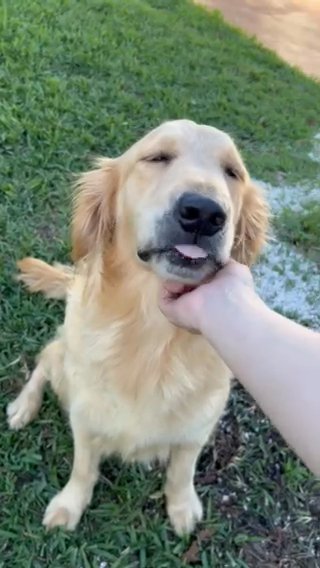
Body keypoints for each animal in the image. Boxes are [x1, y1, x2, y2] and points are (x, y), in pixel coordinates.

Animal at [6, 117, 268, 536]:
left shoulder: (198, 425)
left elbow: (182, 470)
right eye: (157, 157)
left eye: (232, 173)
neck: (152, 334)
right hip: (64, 356)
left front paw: (181, 506)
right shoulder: (86, 415)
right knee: (44, 363)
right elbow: (83, 468)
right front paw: (69, 505)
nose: (204, 212)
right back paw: (22, 407)